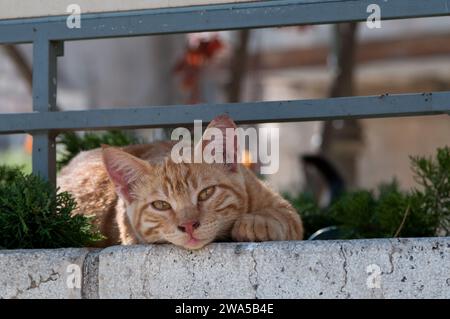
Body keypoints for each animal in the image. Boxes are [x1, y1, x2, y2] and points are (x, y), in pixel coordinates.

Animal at [57, 115, 302, 250]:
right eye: (161, 205)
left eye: (206, 193)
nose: (189, 225)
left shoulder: (283, 209)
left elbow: (283, 216)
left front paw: (256, 222)